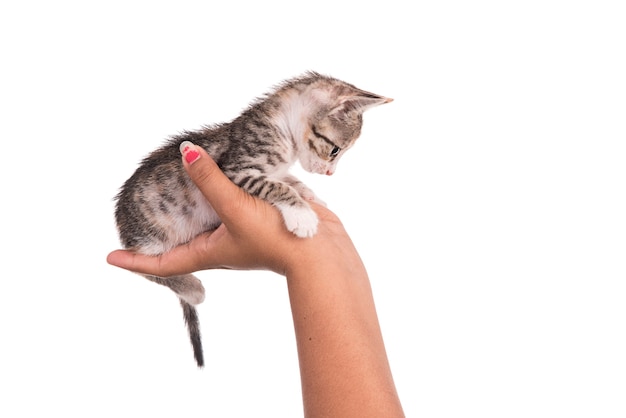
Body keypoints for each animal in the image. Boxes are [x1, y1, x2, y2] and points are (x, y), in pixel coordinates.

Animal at [113, 73, 390, 368]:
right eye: (336, 150)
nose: (329, 173)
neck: (281, 127)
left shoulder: (274, 170)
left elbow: (290, 180)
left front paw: (311, 196)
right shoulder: (237, 169)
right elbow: (278, 186)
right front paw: (302, 215)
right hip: (151, 237)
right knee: (142, 267)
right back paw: (192, 288)